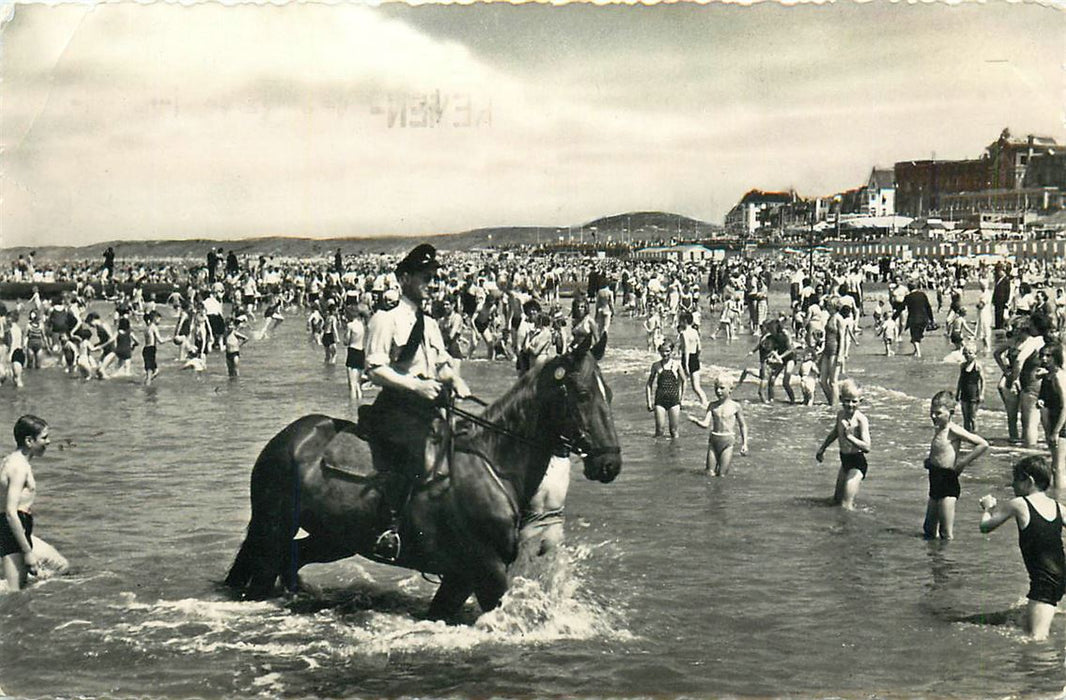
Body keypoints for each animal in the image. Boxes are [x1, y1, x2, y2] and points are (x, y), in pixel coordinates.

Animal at [227, 336, 622, 617]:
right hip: (273, 529)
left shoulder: (460, 576)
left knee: (292, 558)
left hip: (334, 537)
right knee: (264, 573)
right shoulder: (487, 571)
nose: (609, 464)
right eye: (583, 394)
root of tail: (288, 438)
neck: (494, 465)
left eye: (610, 394)